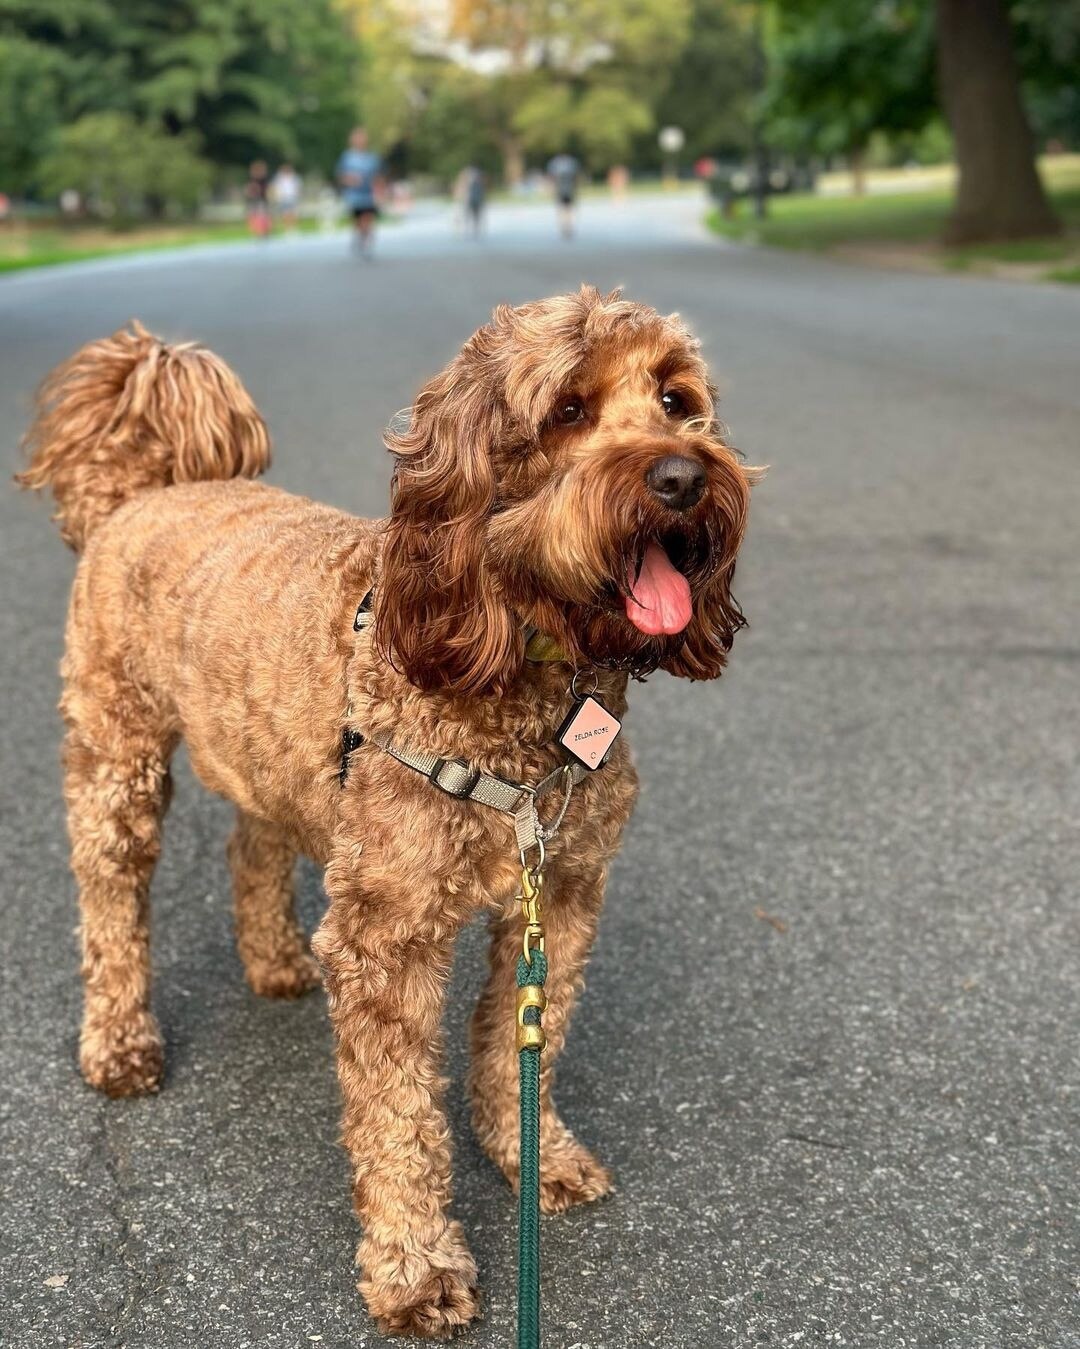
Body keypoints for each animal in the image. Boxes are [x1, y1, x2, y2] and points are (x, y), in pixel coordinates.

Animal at [18, 287, 760, 1338]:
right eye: (568, 410)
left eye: (674, 398)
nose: (683, 476)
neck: (522, 670)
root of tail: (137, 494)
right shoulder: (388, 935)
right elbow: (400, 1118)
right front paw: (416, 1268)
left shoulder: (562, 893)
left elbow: (520, 1049)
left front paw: (533, 1154)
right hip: (116, 753)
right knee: (111, 895)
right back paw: (120, 1041)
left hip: (274, 757)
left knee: (253, 841)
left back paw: (277, 962)